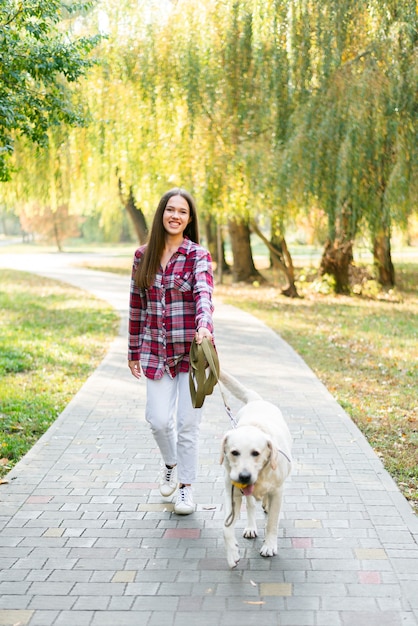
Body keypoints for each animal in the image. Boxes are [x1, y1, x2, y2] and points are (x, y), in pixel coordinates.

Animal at [217, 368, 292, 568]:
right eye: (234, 452)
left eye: (256, 453)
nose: (244, 476)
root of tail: (257, 400)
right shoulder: (232, 493)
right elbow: (226, 529)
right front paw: (232, 553)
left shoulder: (278, 492)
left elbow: (272, 522)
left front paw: (269, 546)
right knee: (250, 505)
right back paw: (251, 526)